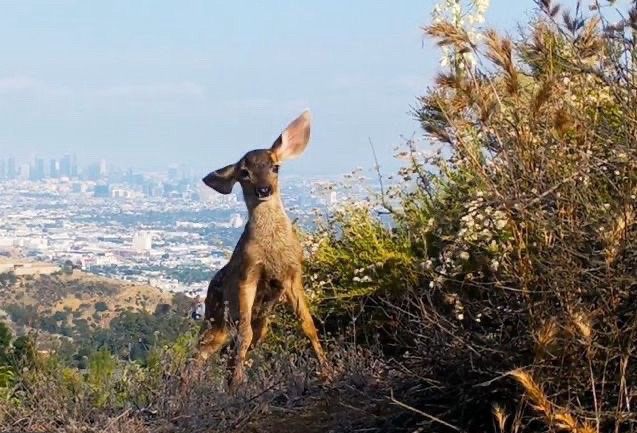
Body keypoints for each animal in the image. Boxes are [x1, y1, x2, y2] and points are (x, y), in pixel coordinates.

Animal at [191, 109, 330, 390]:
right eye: (244, 173)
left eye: (275, 167)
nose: (264, 189)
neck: (273, 249)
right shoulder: (248, 274)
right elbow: (244, 335)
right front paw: (237, 384)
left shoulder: (292, 274)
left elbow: (308, 325)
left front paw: (328, 371)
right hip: (215, 316)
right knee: (203, 350)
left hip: (260, 323)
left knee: (229, 349)